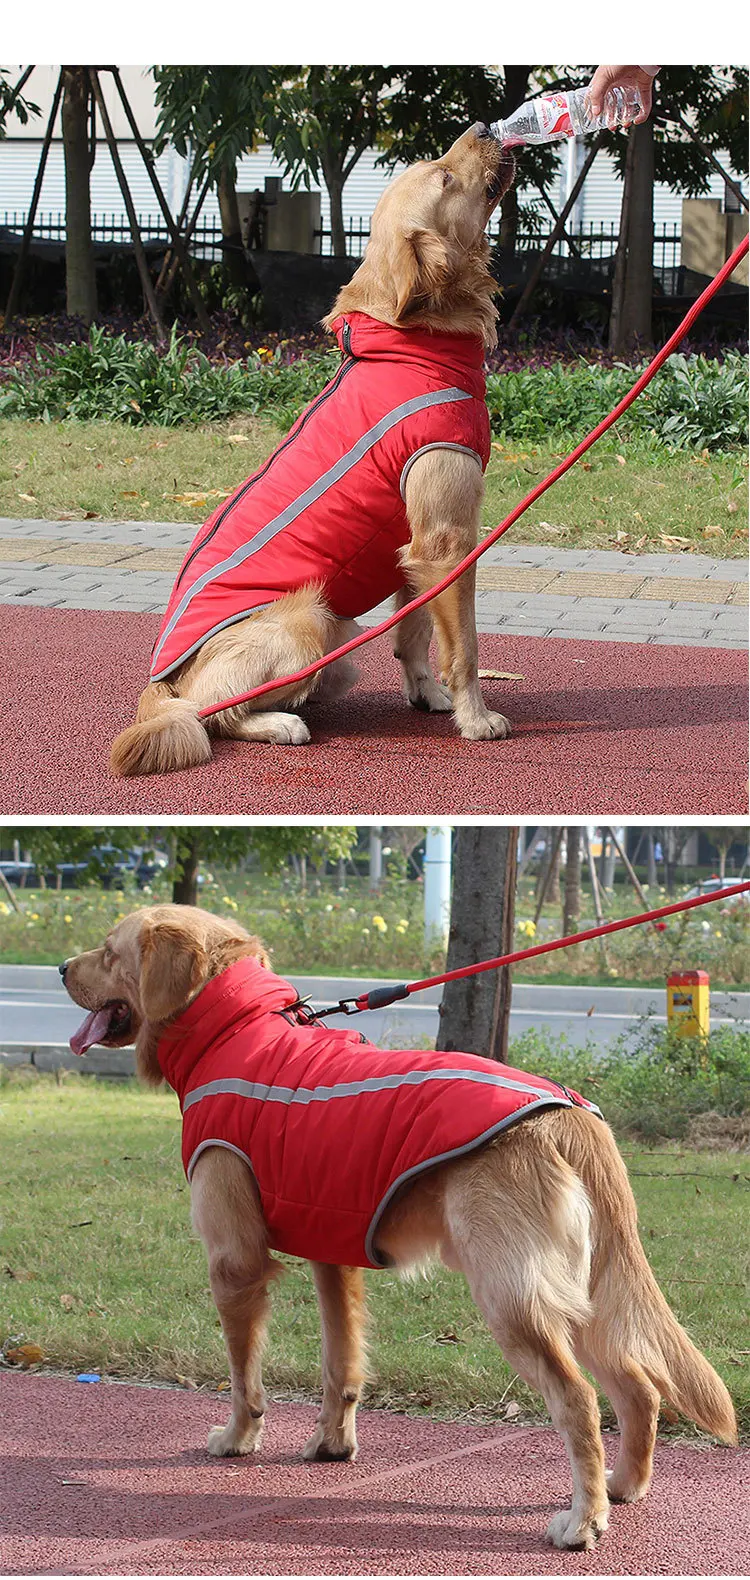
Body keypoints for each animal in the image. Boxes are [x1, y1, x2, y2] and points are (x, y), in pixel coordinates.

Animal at [60, 910, 738, 1548]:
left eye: (109, 951)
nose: (63, 966)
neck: (238, 1029)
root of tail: (569, 1113)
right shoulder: (332, 1255)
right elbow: (340, 1365)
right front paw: (332, 1445)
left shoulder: (235, 1262)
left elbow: (243, 1374)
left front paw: (238, 1436)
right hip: (583, 1293)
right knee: (640, 1388)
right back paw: (622, 1487)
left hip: (513, 1300)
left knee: (580, 1401)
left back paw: (583, 1521)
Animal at [109, 126, 517, 780]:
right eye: (445, 176)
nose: (483, 129)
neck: (408, 346)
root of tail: (160, 682)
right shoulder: (448, 540)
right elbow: (466, 648)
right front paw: (475, 719)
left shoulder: (413, 549)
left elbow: (415, 634)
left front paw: (428, 695)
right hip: (310, 622)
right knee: (211, 714)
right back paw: (280, 723)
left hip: (338, 648)